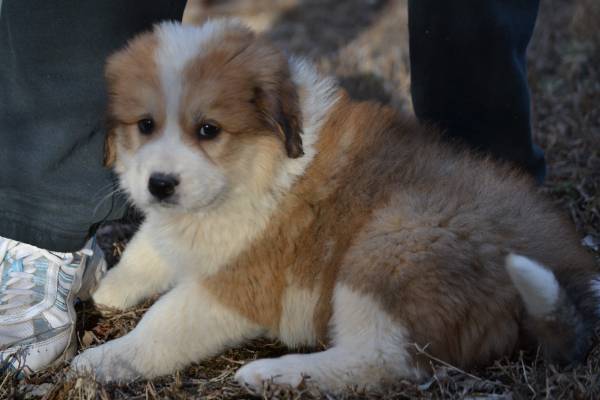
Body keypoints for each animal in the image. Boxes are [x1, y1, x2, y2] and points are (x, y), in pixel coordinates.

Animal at [74, 20, 600, 392]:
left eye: (208, 130)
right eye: (145, 125)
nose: (160, 184)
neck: (259, 164)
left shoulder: (242, 281)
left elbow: (166, 321)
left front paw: (104, 359)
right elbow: (149, 246)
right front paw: (109, 287)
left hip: (391, 244)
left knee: (384, 361)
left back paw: (276, 374)